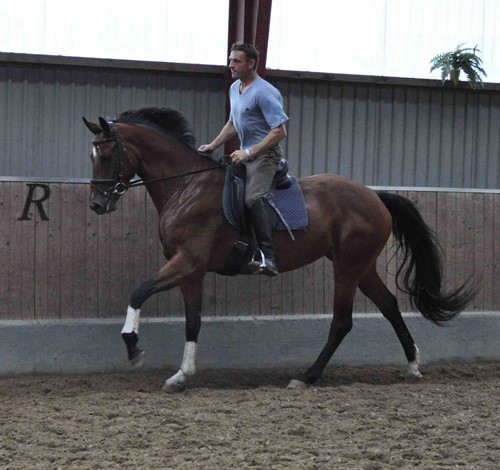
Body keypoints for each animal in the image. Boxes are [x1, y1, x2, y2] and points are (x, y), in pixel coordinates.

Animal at [84, 106, 474, 392]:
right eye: (93, 156)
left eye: (108, 154)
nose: (97, 205)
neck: (187, 188)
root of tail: (374, 196)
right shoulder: (190, 269)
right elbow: (192, 321)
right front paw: (182, 376)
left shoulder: (187, 261)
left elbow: (139, 291)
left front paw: (133, 347)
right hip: (361, 266)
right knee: (390, 305)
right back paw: (413, 365)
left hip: (348, 266)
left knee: (342, 321)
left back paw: (306, 377)